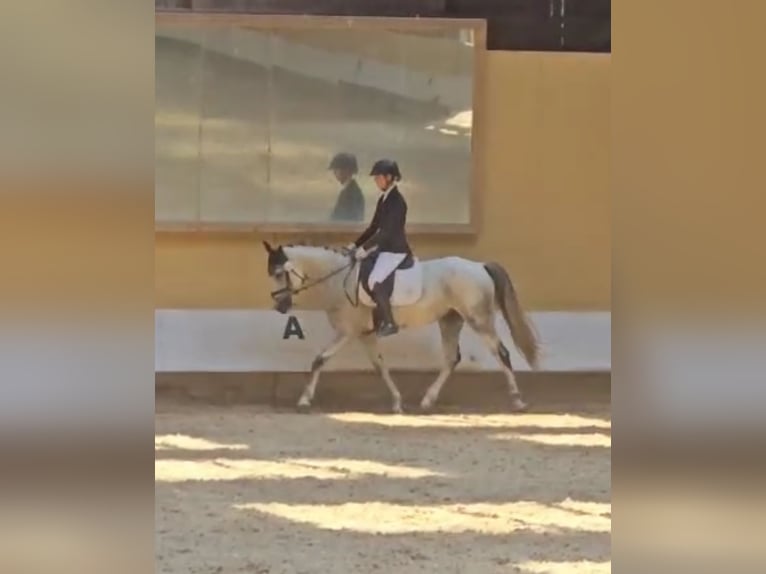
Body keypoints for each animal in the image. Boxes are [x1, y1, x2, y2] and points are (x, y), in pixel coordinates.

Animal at [262, 241, 540, 414]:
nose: (280, 306)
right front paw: (397, 402)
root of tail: (479, 266)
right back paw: (427, 400)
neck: (339, 280)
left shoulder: (348, 332)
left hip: (478, 320)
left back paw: (517, 401)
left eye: (279, 273)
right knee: (451, 359)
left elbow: (319, 360)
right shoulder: (365, 335)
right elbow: (380, 366)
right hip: (450, 320)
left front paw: (303, 400)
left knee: (501, 353)